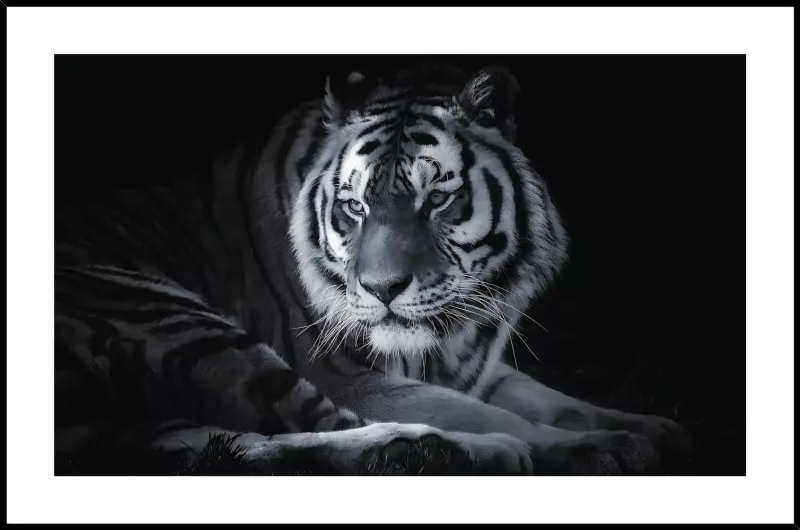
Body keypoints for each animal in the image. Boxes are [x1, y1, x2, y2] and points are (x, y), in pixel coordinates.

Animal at [55, 61, 690, 476]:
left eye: (437, 201)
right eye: (354, 207)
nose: (382, 289)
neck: (455, 334)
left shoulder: (477, 365)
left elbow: (550, 397)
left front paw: (652, 428)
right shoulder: (342, 371)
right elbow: (482, 412)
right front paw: (606, 447)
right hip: (167, 313)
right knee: (314, 422)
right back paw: (474, 453)